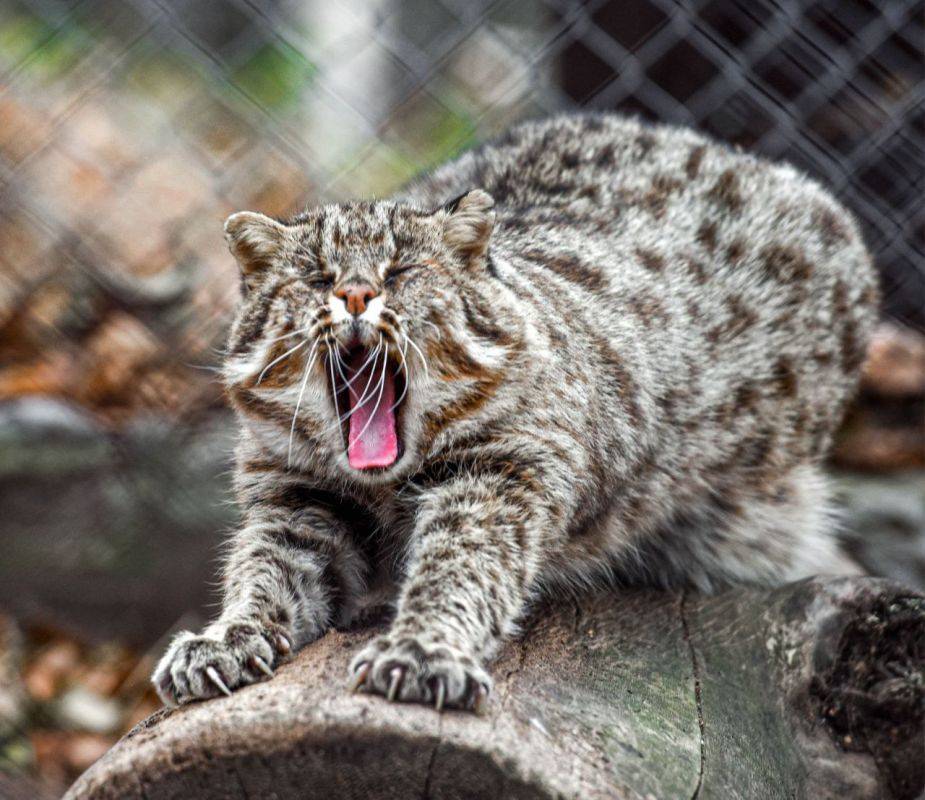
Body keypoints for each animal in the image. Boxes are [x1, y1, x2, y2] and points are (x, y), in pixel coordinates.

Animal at [153, 112, 880, 712]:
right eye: (315, 277)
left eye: (402, 271)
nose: (356, 295)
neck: (384, 486)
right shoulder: (295, 495)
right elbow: (261, 570)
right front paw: (222, 641)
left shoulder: (500, 474)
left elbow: (460, 566)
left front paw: (421, 652)